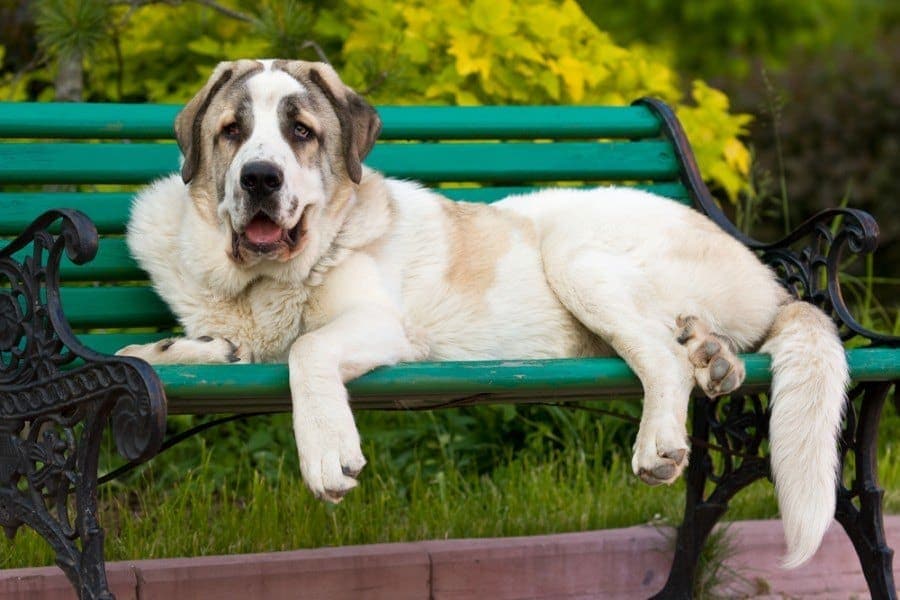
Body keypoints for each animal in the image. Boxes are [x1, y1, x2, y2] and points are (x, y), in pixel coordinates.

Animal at [118, 57, 844, 568]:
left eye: (301, 133)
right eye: (232, 132)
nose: (259, 178)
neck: (261, 284)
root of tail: (766, 276)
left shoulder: (379, 326)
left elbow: (306, 349)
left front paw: (328, 450)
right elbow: (180, 349)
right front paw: (164, 352)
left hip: (574, 254)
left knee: (660, 358)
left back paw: (662, 435)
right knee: (686, 346)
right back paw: (714, 357)